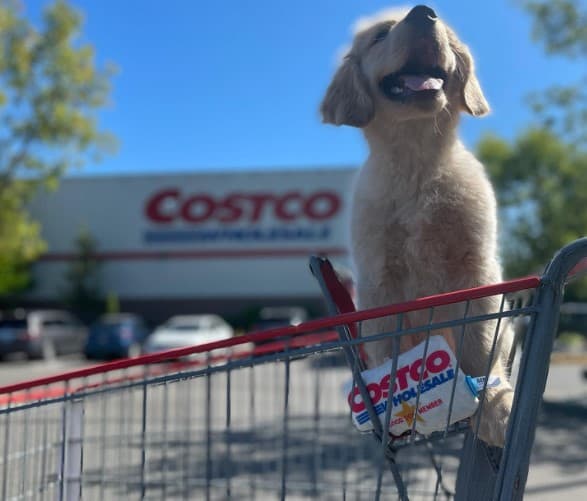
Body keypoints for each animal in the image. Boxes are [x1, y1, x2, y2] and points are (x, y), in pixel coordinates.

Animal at [322, 5, 516, 446]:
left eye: (442, 25)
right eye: (380, 35)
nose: (424, 13)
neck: (417, 164)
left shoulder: (476, 272)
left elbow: (480, 348)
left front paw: (495, 409)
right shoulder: (380, 280)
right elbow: (390, 353)